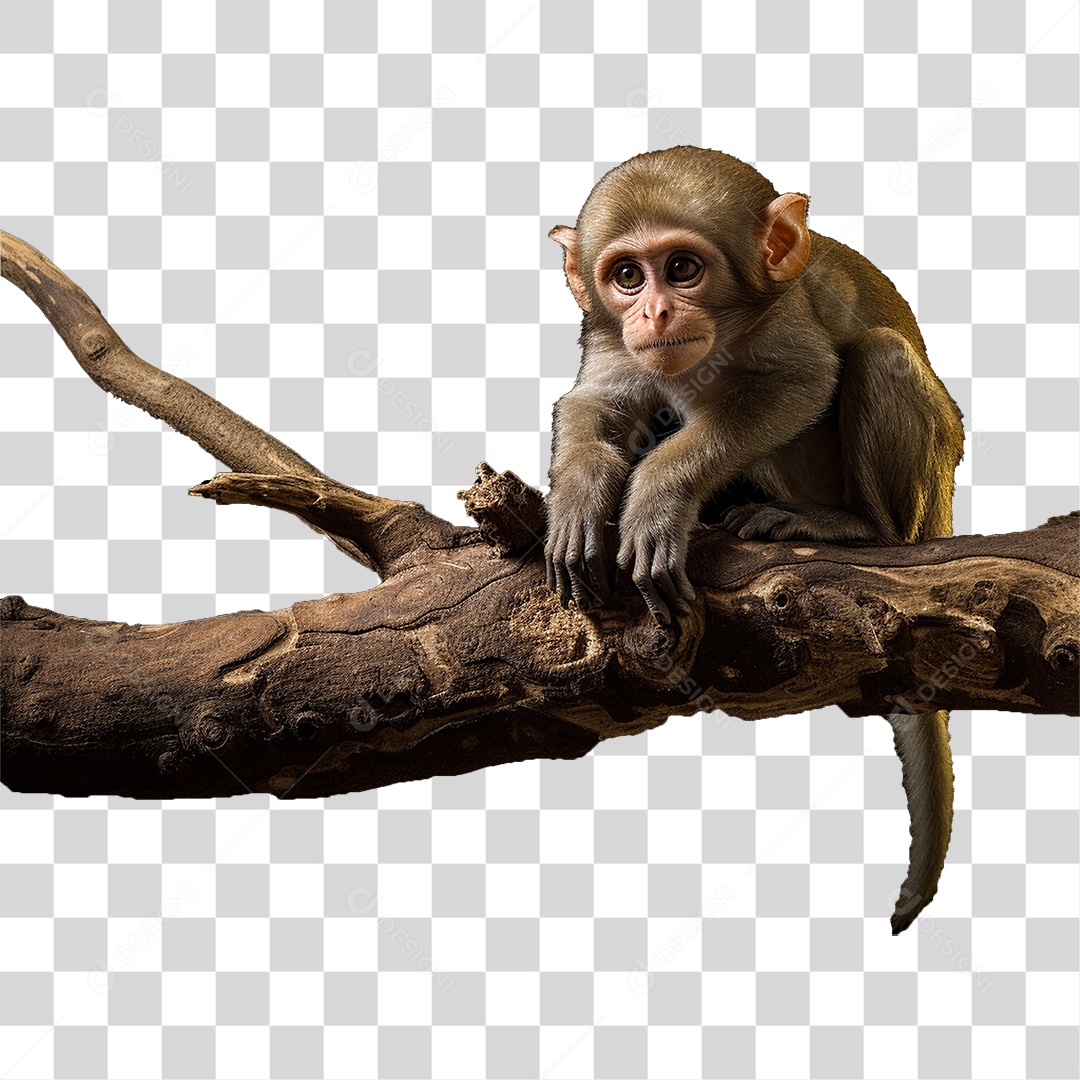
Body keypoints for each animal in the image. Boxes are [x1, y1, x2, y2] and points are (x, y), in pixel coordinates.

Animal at [544, 146, 965, 934]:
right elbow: (596, 402)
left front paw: (658, 495)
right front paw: (578, 502)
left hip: (922, 497)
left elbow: (799, 382)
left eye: (683, 269)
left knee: (878, 356)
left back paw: (853, 528)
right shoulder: (609, 334)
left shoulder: (783, 320)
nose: (654, 312)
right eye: (626, 276)